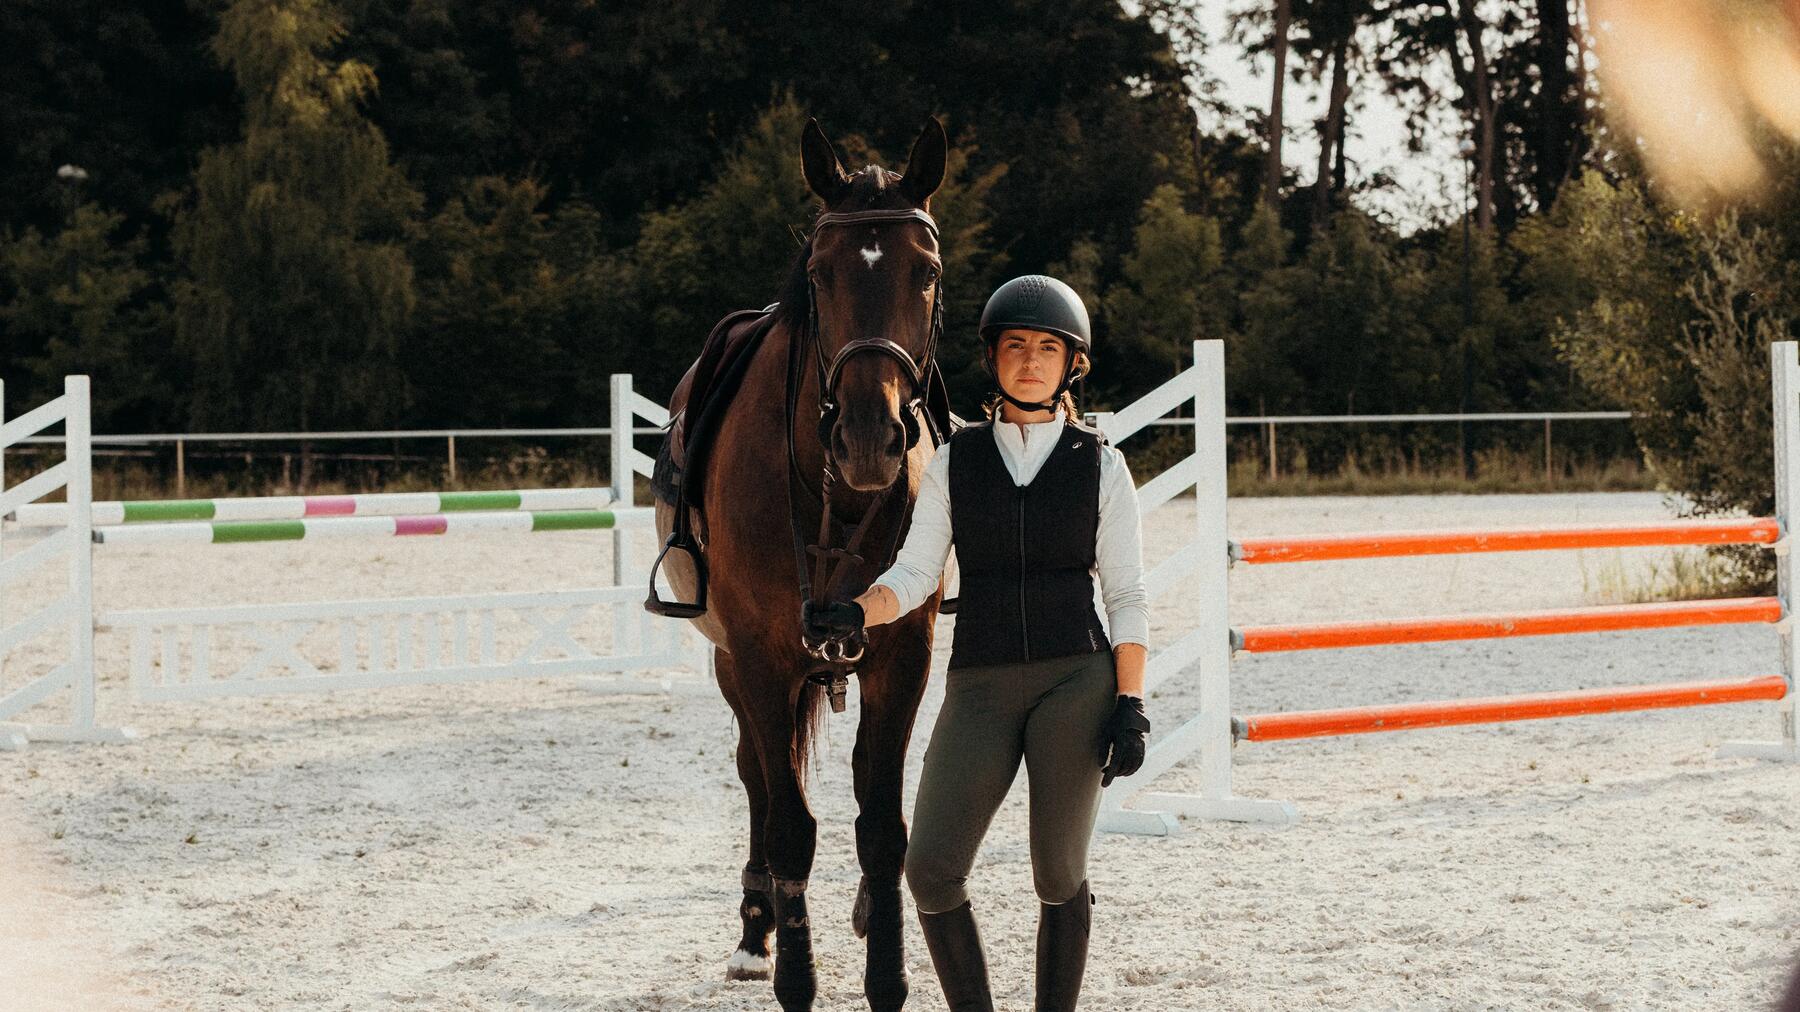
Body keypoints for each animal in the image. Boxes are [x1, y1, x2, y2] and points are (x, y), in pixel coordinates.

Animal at [649, 118, 952, 1011]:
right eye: (821, 273)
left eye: (926, 272)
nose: (869, 438)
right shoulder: (759, 658)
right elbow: (787, 822)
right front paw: (794, 973)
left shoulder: (903, 655)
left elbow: (883, 827)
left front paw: (887, 973)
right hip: (731, 664)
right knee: (756, 773)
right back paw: (758, 929)